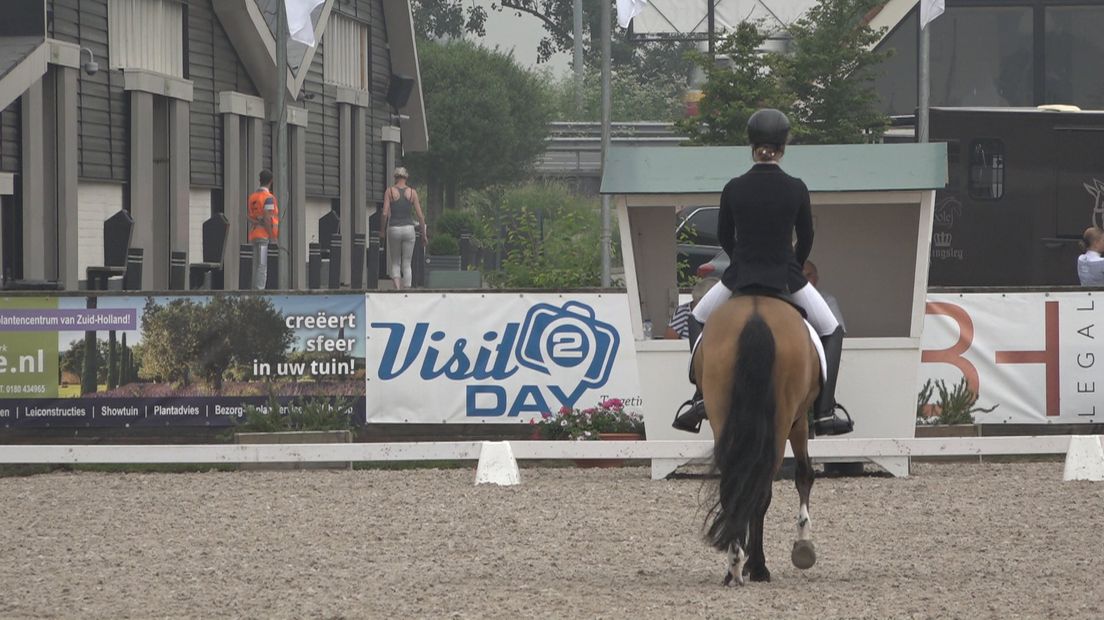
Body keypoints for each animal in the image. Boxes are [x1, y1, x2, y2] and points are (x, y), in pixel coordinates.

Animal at [693, 291, 825, 582]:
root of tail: (756, 316)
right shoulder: (798, 421)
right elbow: (804, 474)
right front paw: (803, 544)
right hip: (783, 422)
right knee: (761, 489)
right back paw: (755, 566)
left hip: (720, 413)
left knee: (733, 483)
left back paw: (734, 567)